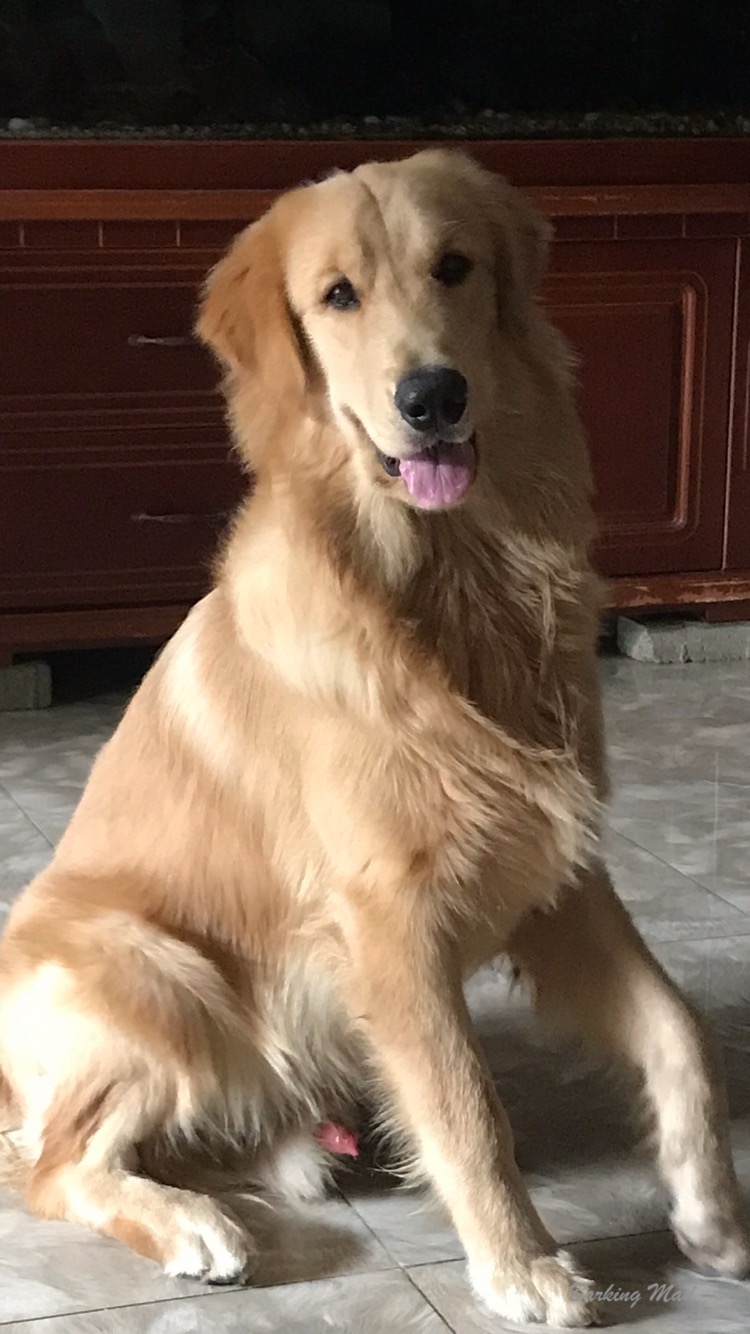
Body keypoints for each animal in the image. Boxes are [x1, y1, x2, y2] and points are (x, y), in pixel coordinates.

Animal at [0, 149, 747, 1327]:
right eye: (338, 296)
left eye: (455, 267)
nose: (431, 396)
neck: (449, 580)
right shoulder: (393, 919)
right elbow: (466, 1102)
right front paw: (520, 1263)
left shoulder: (556, 875)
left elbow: (679, 1029)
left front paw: (710, 1206)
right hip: (164, 973)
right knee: (56, 1163)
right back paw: (195, 1226)